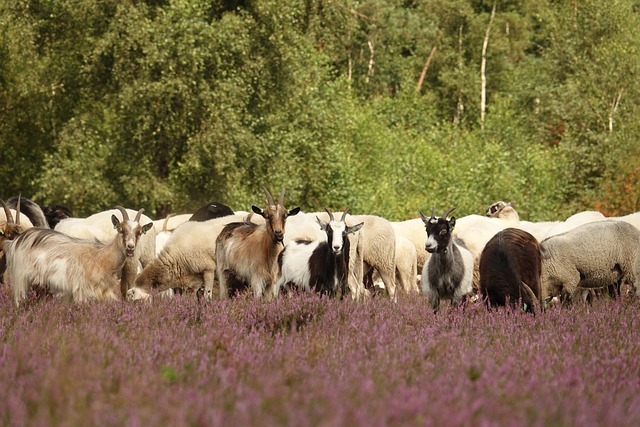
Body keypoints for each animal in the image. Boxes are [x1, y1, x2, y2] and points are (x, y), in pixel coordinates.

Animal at [5, 206, 154, 306]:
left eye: (139, 232)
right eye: (121, 230)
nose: (130, 247)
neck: (101, 256)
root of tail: (19, 239)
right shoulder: (81, 290)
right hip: (21, 278)